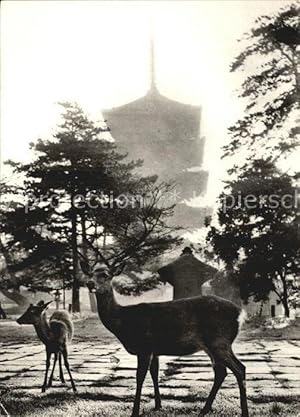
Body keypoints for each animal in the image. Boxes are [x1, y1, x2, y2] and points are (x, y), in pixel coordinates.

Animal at [82, 262, 248, 414]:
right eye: (90, 273)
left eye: (105, 275)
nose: (89, 283)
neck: (123, 321)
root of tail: (240, 314)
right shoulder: (154, 350)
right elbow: (154, 373)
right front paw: (158, 405)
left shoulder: (144, 347)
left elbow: (140, 377)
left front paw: (135, 411)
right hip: (212, 345)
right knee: (221, 371)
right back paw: (205, 409)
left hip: (219, 340)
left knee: (239, 368)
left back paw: (243, 411)